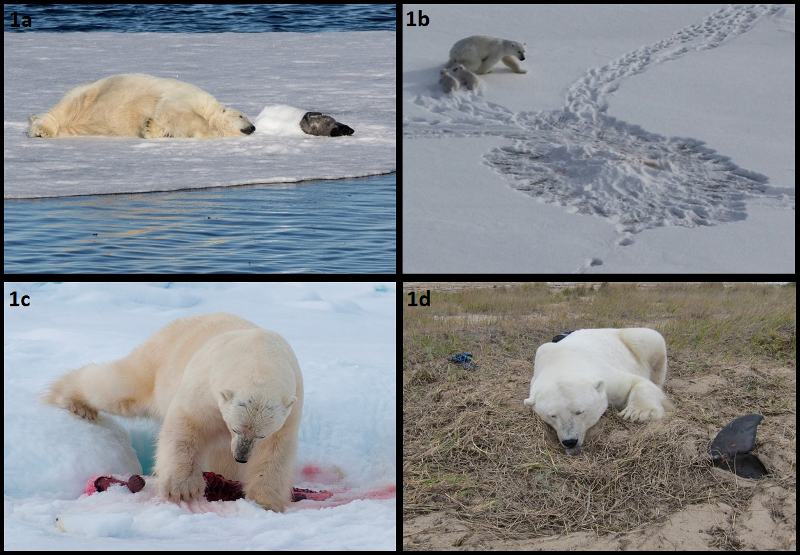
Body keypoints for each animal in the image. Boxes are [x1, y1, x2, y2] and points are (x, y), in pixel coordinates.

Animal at [28, 74, 255, 140]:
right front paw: (207, 132)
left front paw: (149, 128)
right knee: (63, 109)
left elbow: (164, 124)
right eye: (243, 116)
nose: (253, 127)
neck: (210, 109)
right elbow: (176, 113)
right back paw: (41, 129)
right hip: (91, 94)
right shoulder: (187, 97)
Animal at [43, 312, 303, 512]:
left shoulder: (292, 404)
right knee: (121, 388)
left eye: (261, 434)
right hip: (157, 359)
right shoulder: (205, 385)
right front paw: (183, 490)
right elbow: (187, 425)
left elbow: (276, 450)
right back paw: (73, 401)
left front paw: (265, 500)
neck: (259, 355)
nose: (241, 457)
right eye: (236, 428)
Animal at [523, 328, 670, 456]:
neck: (561, 362)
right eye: (552, 416)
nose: (570, 441)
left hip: (639, 341)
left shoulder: (606, 376)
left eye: (580, 412)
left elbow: (635, 382)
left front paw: (637, 412)